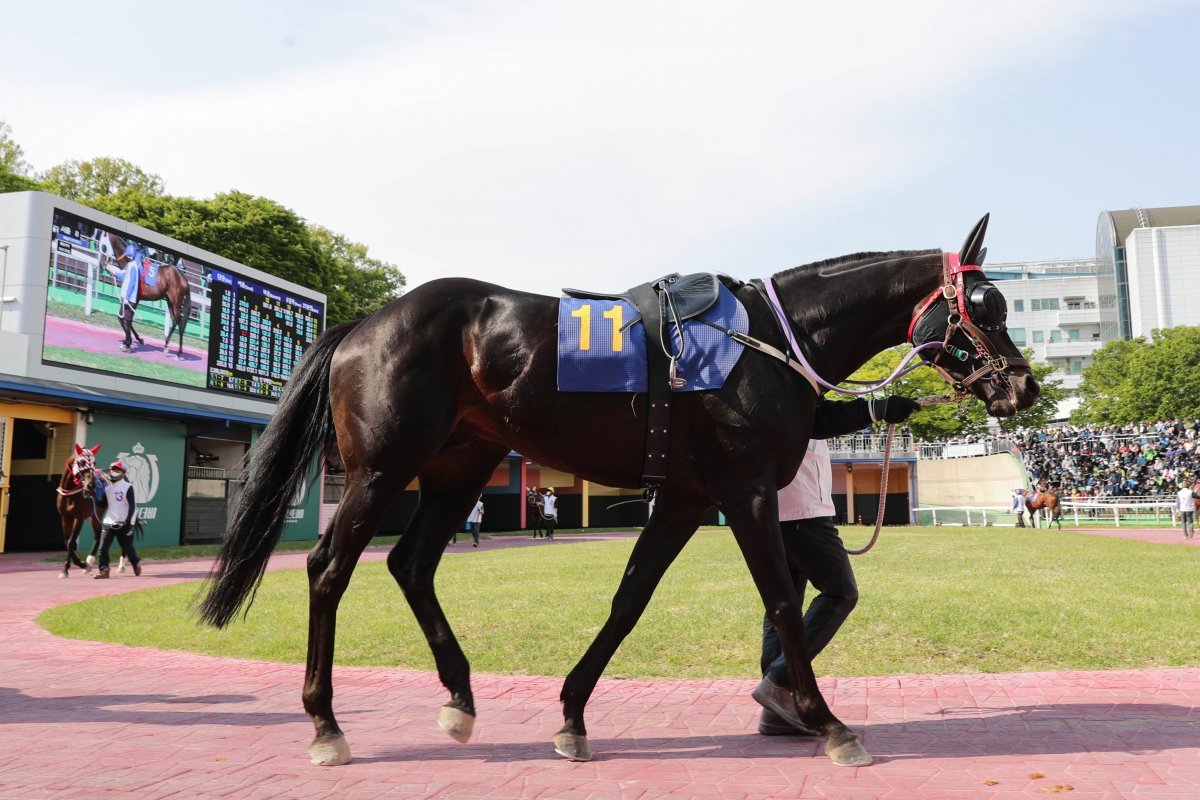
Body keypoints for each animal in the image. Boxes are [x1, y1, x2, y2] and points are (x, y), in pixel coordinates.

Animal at [199, 214, 1041, 767]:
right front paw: (826, 721)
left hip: (460, 464)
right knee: (329, 571)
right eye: (987, 305)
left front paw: (572, 713)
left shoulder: (688, 498)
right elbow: (779, 600)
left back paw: (459, 700)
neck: (768, 339)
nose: (1024, 387)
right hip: (382, 469)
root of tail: (366, 322)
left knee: (410, 563)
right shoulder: (745, 489)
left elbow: (630, 598)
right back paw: (325, 724)